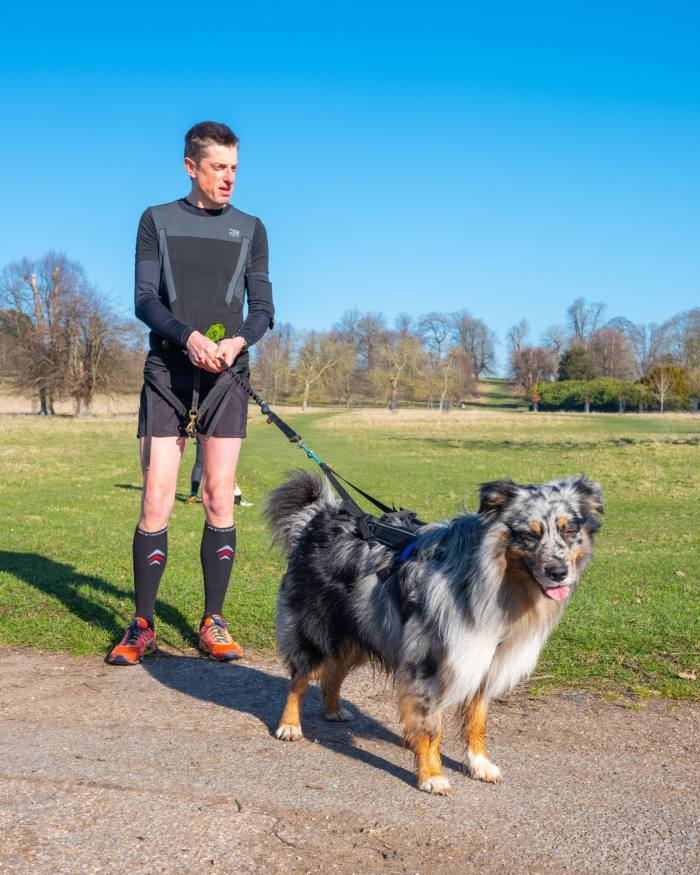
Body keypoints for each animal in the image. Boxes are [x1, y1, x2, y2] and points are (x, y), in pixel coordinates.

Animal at [262, 472, 600, 792]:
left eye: (569, 530)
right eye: (529, 534)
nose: (559, 573)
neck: (492, 582)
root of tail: (320, 517)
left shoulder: (484, 662)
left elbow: (477, 721)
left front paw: (479, 764)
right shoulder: (429, 664)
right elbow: (430, 728)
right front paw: (432, 776)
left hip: (362, 629)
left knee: (334, 671)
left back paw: (332, 710)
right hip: (315, 627)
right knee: (301, 676)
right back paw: (290, 725)